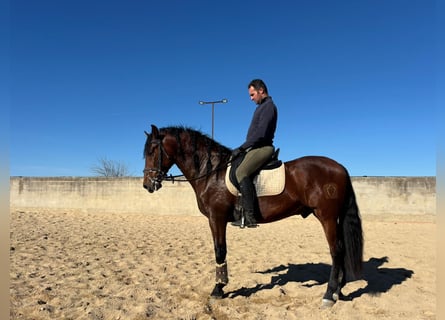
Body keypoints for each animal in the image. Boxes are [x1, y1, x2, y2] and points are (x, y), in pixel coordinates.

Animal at [144, 125, 362, 308]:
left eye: (152, 151)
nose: (147, 185)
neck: (211, 173)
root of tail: (340, 167)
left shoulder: (216, 218)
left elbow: (219, 251)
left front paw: (218, 289)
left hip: (326, 216)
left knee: (336, 251)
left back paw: (328, 295)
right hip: (333, 217)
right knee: (341, 249)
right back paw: (338, 291)